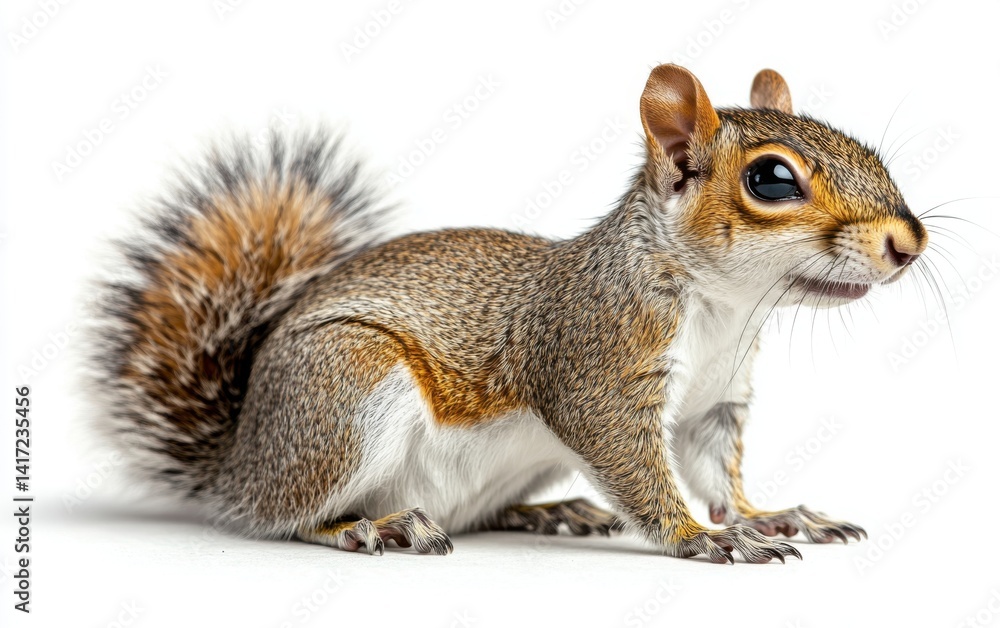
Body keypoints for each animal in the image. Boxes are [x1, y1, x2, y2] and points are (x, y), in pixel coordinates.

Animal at [89, 64, 927, 563]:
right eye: (772, 179)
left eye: (871, 153)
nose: (909, 243)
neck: (726, 306)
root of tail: (238, 460)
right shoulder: (595, 364)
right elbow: (639, 469)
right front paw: (697, 536)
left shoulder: (713, 403)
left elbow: (714, 470)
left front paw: (768, 515)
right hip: (343, 388)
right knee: (283, 515)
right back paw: (369, 525)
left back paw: (551, 513)